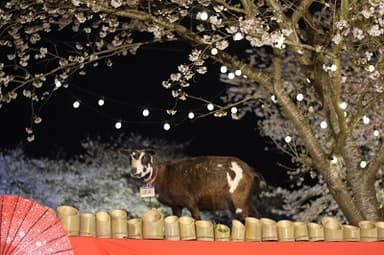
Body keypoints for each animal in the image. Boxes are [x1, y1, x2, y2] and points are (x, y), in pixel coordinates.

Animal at [121, 148, 266, 220]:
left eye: (145, 157)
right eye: (130, 157)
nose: (134, 171)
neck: (162, 175)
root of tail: (250, 170)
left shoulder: (190, 202)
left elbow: (197, 220)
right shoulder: (176, 205)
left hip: (239, 200)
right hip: (246, 200)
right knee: (257, 218)